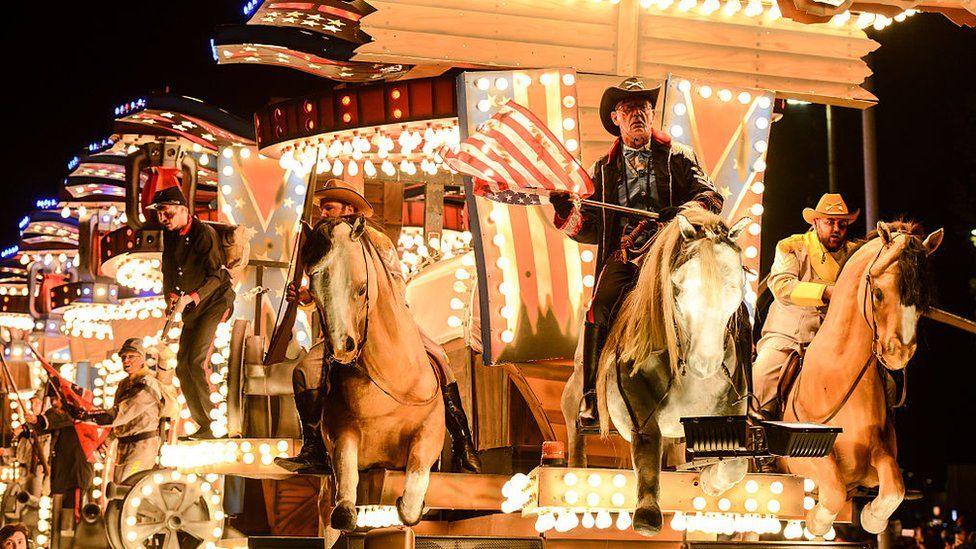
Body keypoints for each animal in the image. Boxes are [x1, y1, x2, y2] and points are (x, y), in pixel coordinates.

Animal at [304, 217, 444, 532]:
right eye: (314, 290)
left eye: (360, 289)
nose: (342, 347)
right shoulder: (340, 431)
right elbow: (344, 498)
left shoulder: (430, 432)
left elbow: (414, 488)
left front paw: (409, 507)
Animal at [560, 210, 752, 536]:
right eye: (679, 287)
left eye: (735, 286)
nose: (705, 362)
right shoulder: (636, 409)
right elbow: (647, 445)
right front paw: (647, 513)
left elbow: (736, 463)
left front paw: (710, 481)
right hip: (577, 386)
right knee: (573, 420)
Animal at [780, 219, 940, 536]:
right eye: (878, 293)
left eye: (924, 302)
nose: (899, 352)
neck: (835, 375)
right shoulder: (803, 457)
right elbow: (833, 489)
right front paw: (816, 521)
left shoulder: (879, 453)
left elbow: (893, 489)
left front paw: (872, 518)